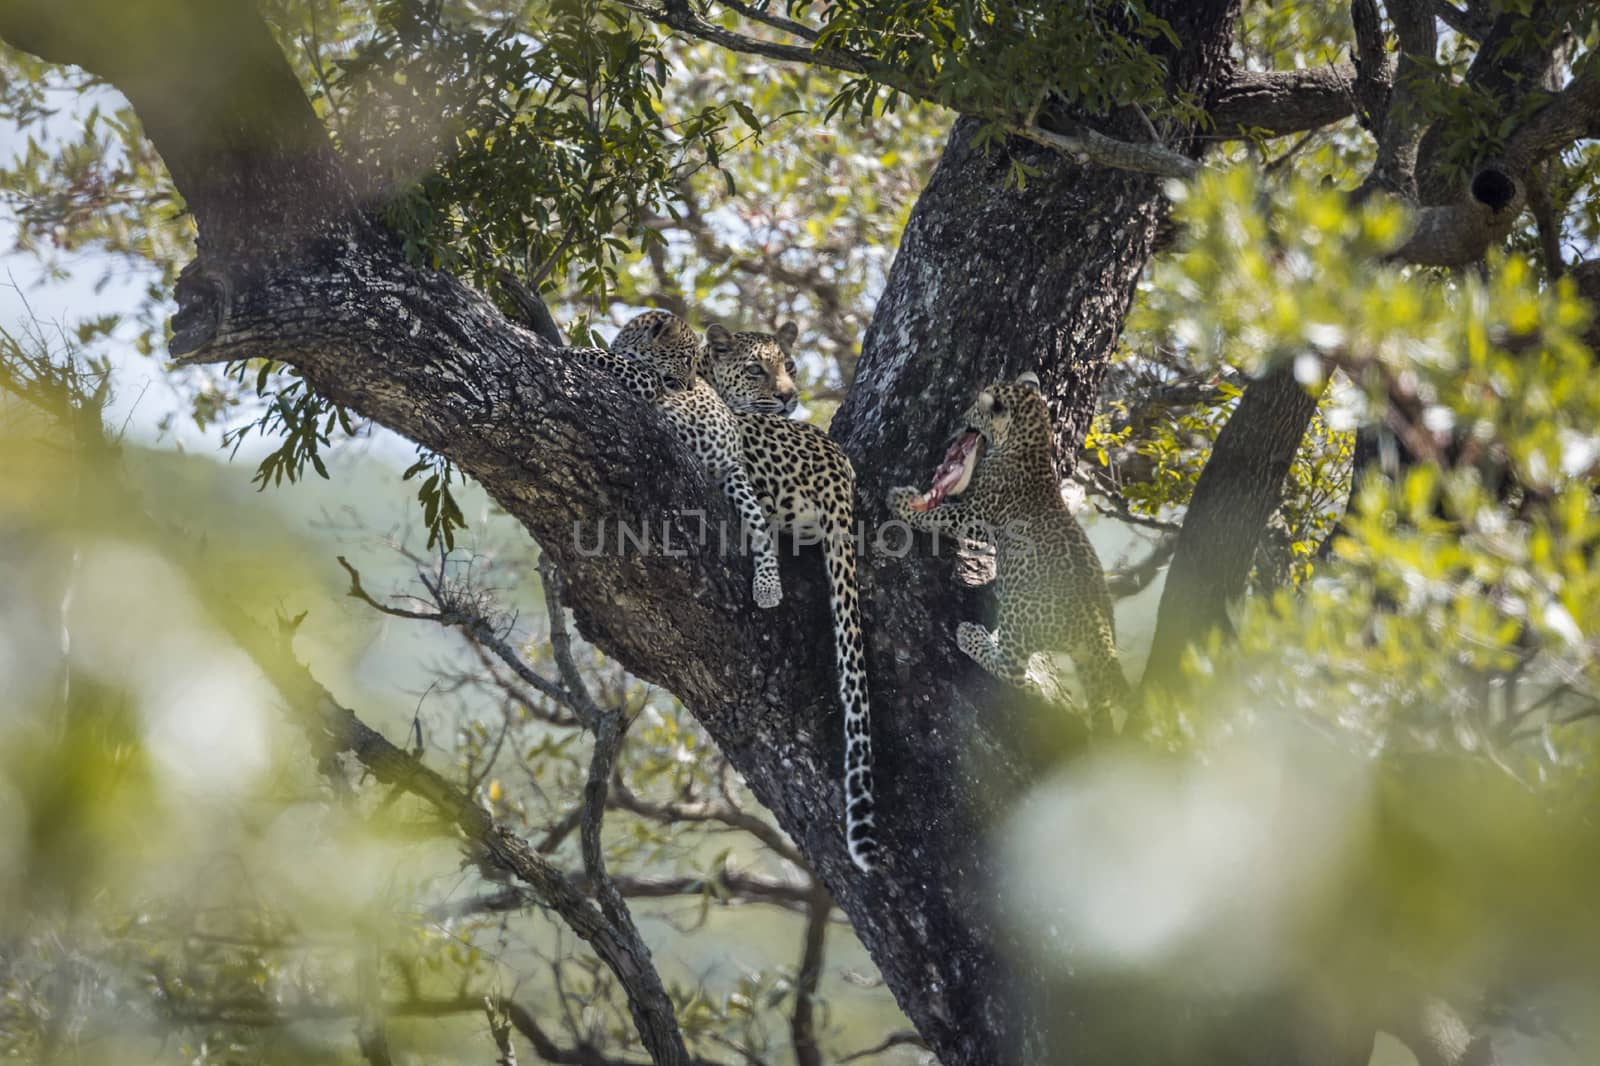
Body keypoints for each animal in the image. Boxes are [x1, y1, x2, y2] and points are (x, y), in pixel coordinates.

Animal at [572, 308, 784, 605]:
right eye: (685, 360)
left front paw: (575, 350)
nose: (691, 386)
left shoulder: (647, 381)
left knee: (761, 533)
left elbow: (610, 358)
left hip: (738, 481)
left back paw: (768, 587)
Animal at [889, 368, 1139, 723]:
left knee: (1013, 671)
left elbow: (938, 514)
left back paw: (973, 637)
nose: (962, 417)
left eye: (975, 409)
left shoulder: (975, 515)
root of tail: (1100, 634)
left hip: (1019, 618)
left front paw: (902, 504)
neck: (1031, 443)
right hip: (1088, 666)